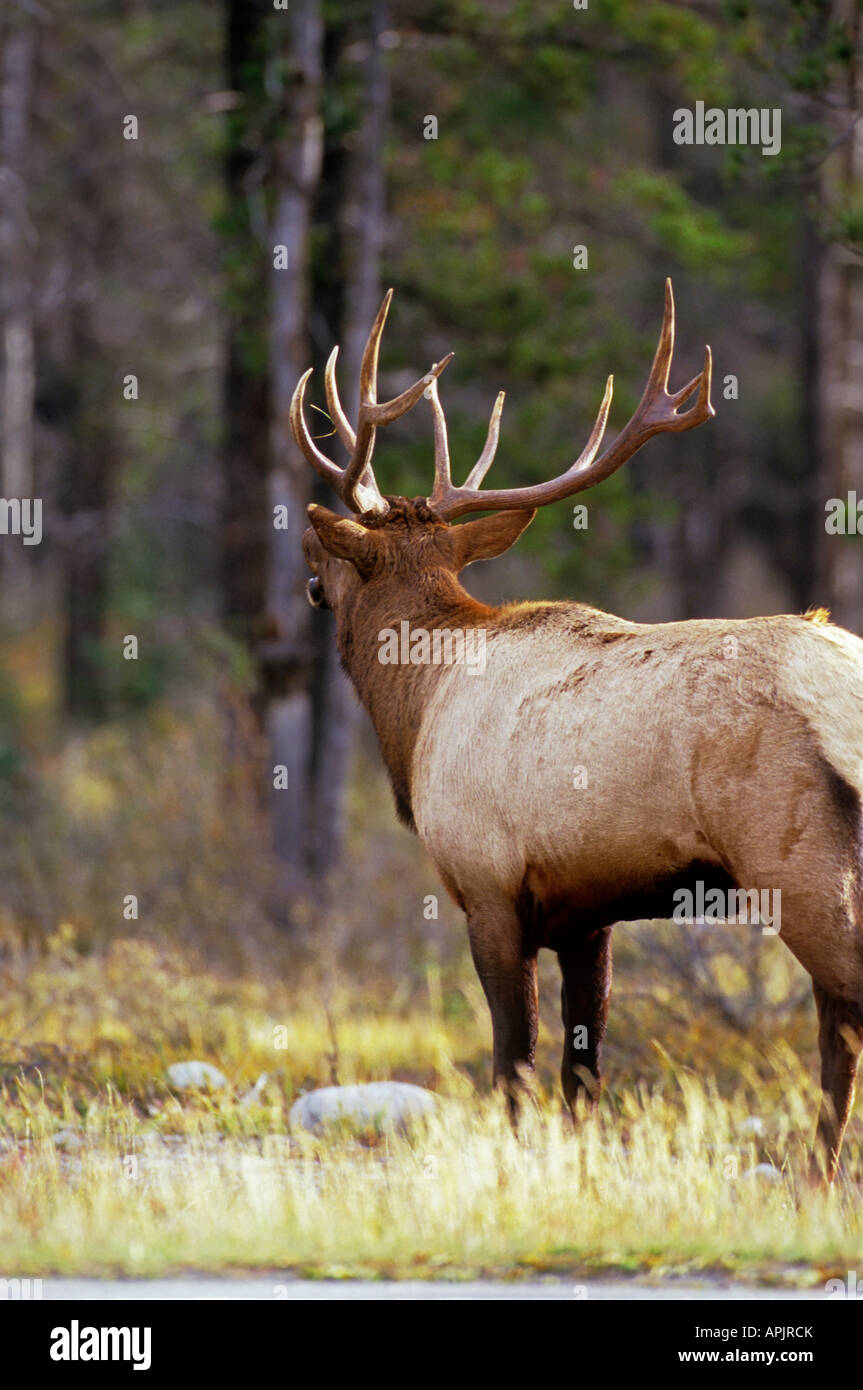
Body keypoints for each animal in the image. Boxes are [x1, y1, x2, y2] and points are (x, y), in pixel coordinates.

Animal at [290, 281, 863, 1181]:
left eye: (336, 551)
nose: (305, 558)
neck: (414, 712)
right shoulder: (587, 911)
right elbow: (581, 1074)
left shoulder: (488, 887)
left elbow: (513, 1065)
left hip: (800, 863)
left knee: (844, 1017)